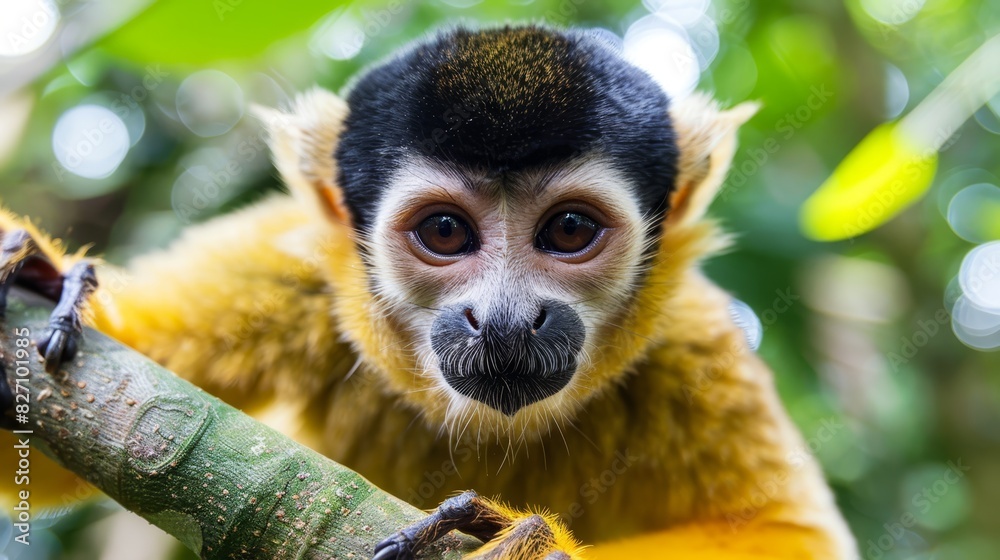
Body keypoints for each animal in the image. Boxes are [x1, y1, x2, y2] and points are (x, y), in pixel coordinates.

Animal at [0, 25, 857, 559]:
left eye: (570, 230)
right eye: (444, 232)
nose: (506, 319)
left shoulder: (686, 340)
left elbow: (789, 537)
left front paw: (538, 549)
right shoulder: (293, 272)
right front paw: (36, 270)